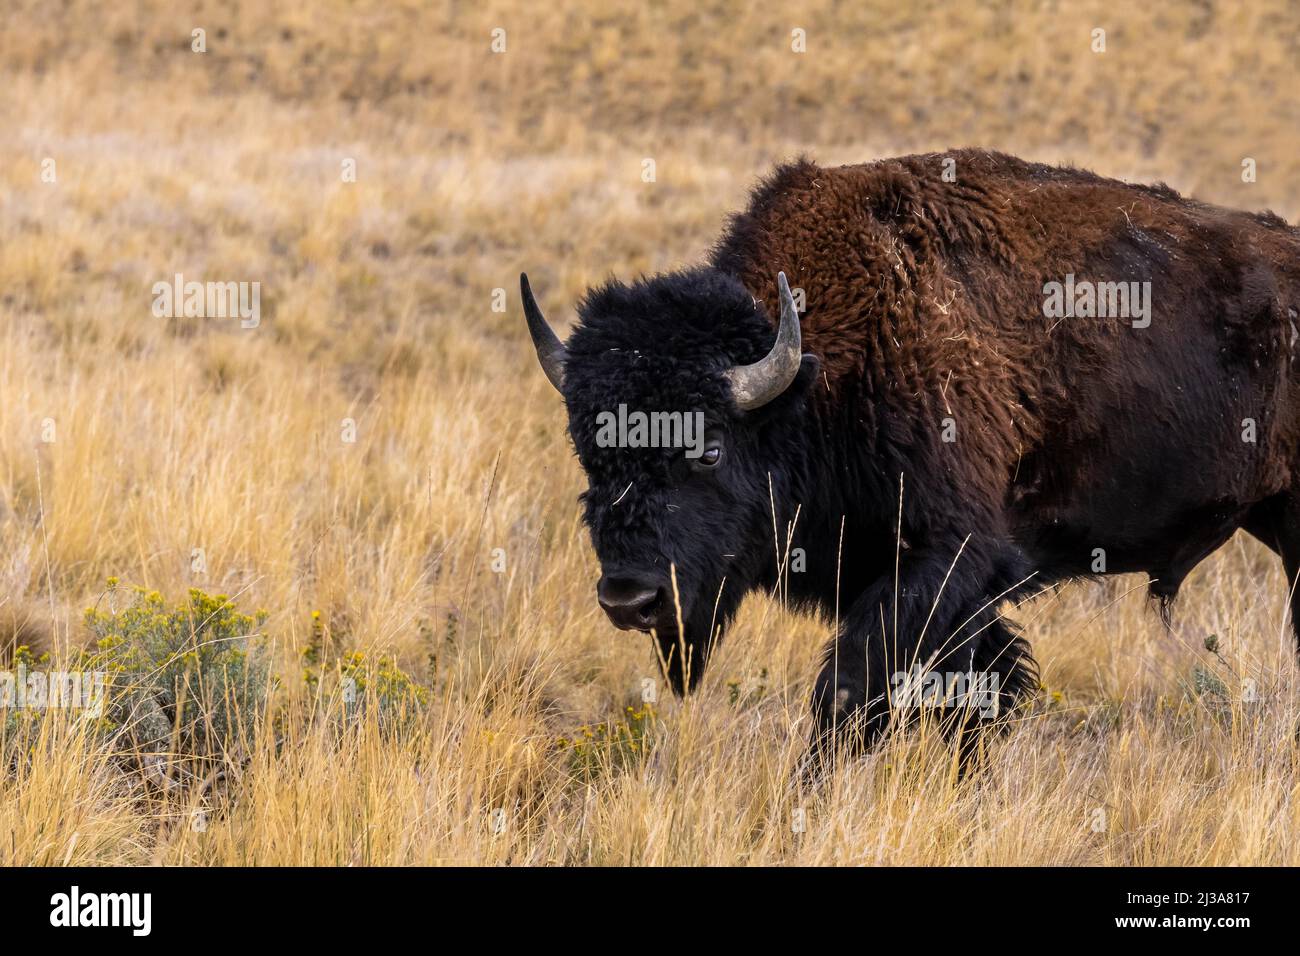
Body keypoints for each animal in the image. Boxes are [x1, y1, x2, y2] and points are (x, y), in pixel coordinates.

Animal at [521, 148, 1300, 755]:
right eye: (588, 451)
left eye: (710, 450)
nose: (630, 597)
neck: (819, 374)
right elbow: (977, 695)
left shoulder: (948, 559)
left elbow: (851, 691)